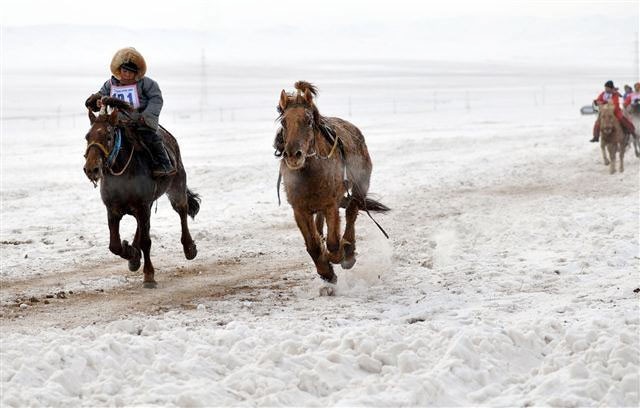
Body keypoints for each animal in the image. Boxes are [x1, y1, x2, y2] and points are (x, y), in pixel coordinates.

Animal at [84, 96, 200, 286]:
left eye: (108, 136)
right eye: (87, 136)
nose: (91, 169)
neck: (122, 172)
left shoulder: (142, 206)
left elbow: (146, 241)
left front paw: (149, 274)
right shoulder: (113, 210)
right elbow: (114, 245)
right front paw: (131, 253)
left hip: (176, 187)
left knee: (182, 211)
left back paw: (189, 248)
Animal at [276, 81, 390, 292]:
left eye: (308, 121)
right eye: (283, 122)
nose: (293, 155)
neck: (310, 174)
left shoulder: (331, 205)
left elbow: (334, 244)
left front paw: (338, 256)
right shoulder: (299, 209)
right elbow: (313, 246)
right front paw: (326, 272)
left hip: (359, 188)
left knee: (352, 212)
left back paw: (349, 252)